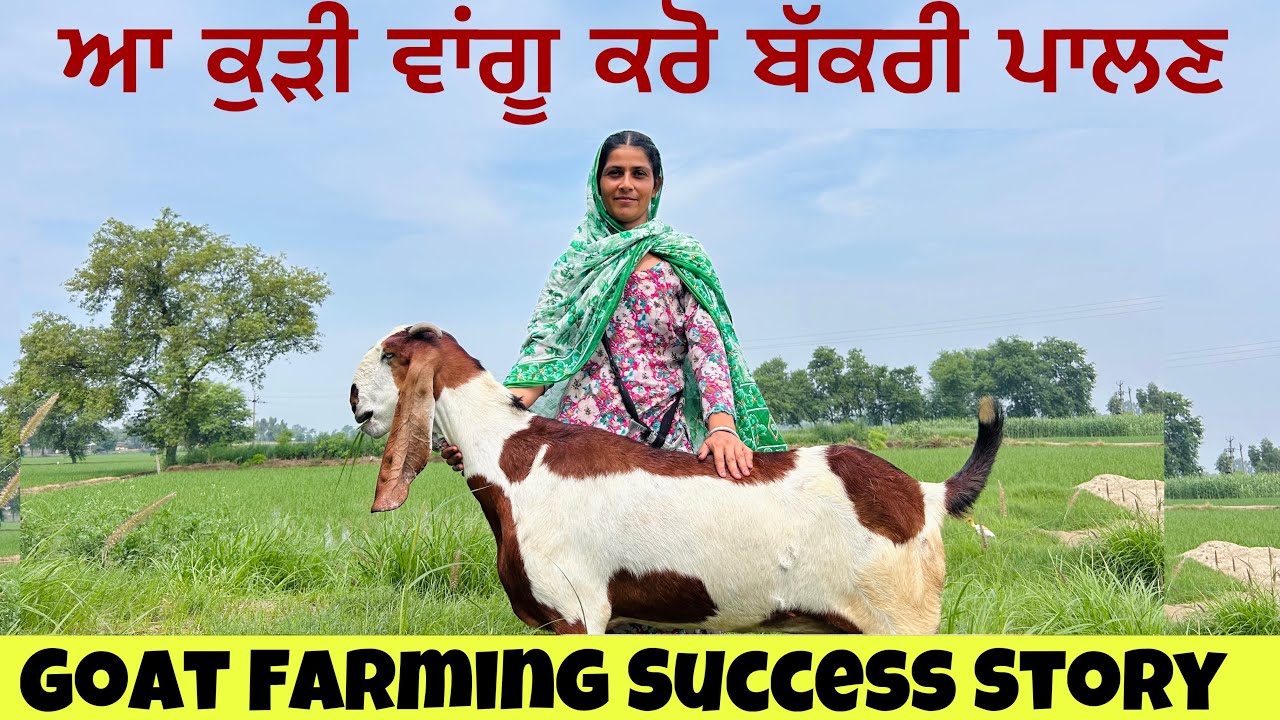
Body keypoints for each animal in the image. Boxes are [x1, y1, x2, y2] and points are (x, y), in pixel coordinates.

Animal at [350, 323, 1003, 634]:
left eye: (388, 355)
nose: (354, 398)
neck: (513, 455)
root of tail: (922, 494)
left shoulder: (577, 611)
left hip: (901, 618)